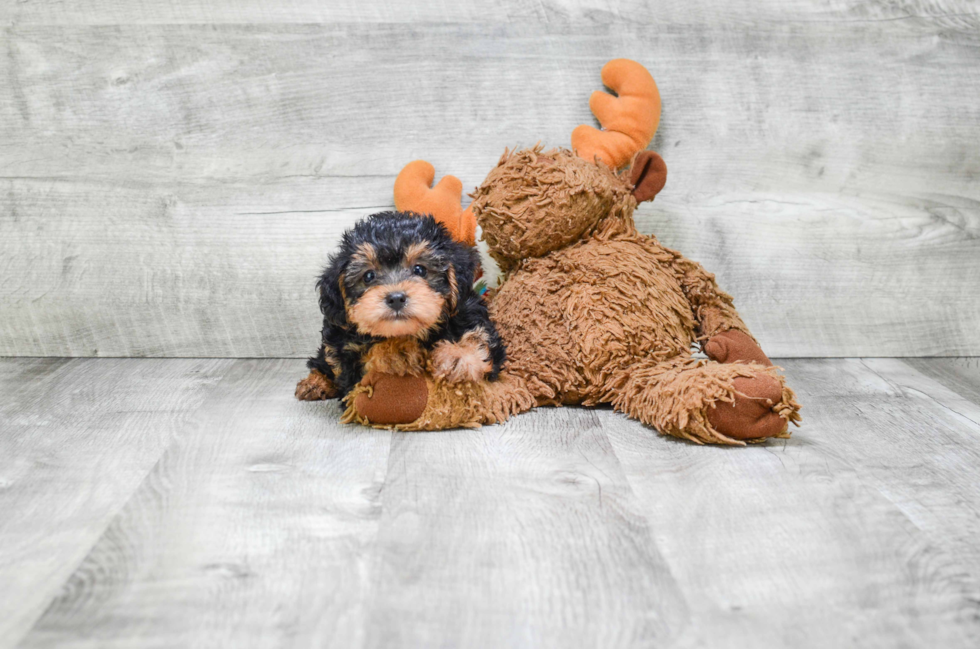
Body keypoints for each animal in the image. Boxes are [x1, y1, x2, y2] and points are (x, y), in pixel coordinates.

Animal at [294, 211, 506, 400]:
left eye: (420, 269)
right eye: (368, 276)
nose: (396, 298)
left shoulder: (468, 312)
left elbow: (479, 337)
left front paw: (457, 357)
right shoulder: (344, 353)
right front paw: (396, 352)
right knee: (321, 360)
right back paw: (315, 383)